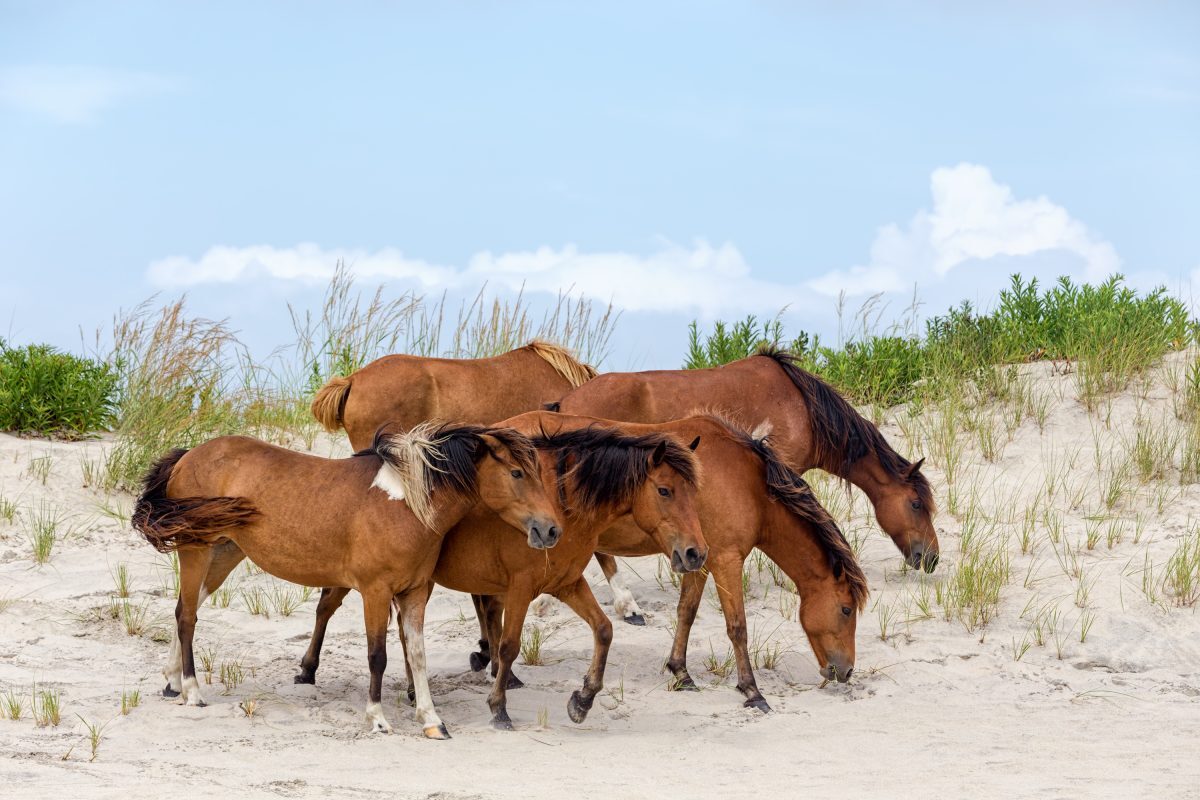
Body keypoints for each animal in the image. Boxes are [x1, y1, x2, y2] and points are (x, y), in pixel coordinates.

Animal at [131, 422, 558, 739]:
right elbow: (378, 656)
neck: (405, 504)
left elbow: (417, 656)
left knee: (183, 609)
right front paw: (378, 718)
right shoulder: (375, 592)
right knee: (188, 617)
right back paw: (192, 691)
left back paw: (171, 682)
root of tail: (188, 455)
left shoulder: (416, 593)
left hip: (225, 553)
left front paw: (432, 721)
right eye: (517, 473)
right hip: (196, 550)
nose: (550, 529)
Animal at [293, 411, 710, 730]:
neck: (563, 504)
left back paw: (415, 690)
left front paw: (583, 700)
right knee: (327, 606)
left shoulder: (567, 583)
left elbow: (604, 630)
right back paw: (308, 670)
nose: (695, 553)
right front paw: (499, 707)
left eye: (694, 492)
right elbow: (510, 645)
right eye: (664, 491)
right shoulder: (521, 587)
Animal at [474, 415, 868, 711]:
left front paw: (681, 672)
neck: (748, 482)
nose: (847, 671)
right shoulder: (726, 560)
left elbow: (687, 612)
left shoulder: (700, 559)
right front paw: (752, 691)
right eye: (846, 610)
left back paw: (490, 660)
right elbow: (737, 627)